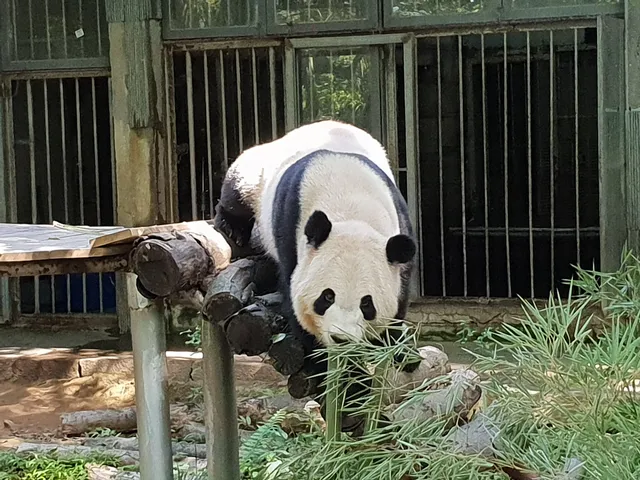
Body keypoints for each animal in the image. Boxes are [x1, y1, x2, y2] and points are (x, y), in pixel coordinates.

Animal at [213, 120, 420, 396]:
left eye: (367, 304)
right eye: (327, 296)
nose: (341, 339)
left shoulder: (399, 237)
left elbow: (397, 306)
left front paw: (392, 354)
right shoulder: (291, 235)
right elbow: (295, 301)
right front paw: (325, 370)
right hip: (258, 176)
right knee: (238, 188)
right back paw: (233, 228)